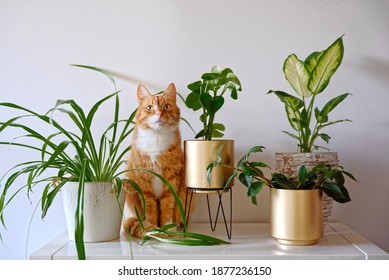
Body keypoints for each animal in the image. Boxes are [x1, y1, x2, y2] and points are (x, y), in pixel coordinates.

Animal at [123, 82, 186, 237]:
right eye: (150, 107)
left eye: (167, 107)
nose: (159, 113)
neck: (156, 138)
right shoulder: (143, 179)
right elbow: (149, 205)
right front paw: (151, 228)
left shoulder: (171, 178)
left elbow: (168, 204)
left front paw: (166, 228)